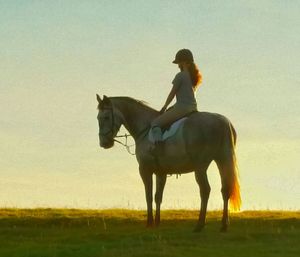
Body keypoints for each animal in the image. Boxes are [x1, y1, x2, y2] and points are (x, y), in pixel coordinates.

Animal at [97, 94, 240, 230]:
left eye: (106, 117)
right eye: (98, 118)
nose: (104, 143)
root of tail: (222, 121)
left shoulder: (144, 170)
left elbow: (148, 196)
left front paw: (149, 223)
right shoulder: (161, 172)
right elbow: (158, 197)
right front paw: (157, 222)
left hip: (200, 167)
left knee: (205, 190)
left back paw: (200, 224)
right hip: (222, 161)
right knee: (225, 189)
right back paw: (224, 224)